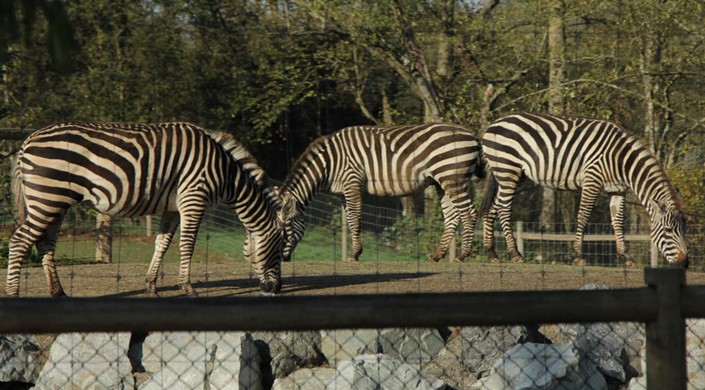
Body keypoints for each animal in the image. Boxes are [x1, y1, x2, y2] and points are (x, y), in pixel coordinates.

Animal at [7, 120, 284, 298]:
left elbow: (162, 243)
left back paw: (58, 293)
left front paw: (152, 286)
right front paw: (188, 288)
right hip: (47, 198)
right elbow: (187, 245)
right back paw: (13, 294)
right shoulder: (193, 198)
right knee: (19, 241)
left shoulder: (173, 207)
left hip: (54, 202)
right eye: (281, 249)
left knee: (45, 244)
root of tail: (27, 140)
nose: (277, 289)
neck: (225, 173)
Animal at [276, 122, 484, 262]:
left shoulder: (352, 182)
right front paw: (355, 251)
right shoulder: (342, 192)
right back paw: (437, 255)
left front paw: (355, 254)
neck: (330, 163)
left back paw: (462, 255)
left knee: (468, 213)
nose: (281, 259)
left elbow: (354, 218)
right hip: (442, 181)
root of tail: (472, 135)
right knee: (452, 216)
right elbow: (349, 220)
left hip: (453, 177)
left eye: (286, 225)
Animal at [478, 111, 688, 266]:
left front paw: (625, 257)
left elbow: (618, 221)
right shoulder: (592, 178)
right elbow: (584, 215)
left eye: (684, 230)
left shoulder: (617, 189)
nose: (684, 262)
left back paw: (492, 253)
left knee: (493, 208)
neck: (621, 160)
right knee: (503, 209)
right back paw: (515, 254)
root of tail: (494, 123)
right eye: (668, 230)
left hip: (510, 173)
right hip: (508, 169)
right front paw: (579, 255)